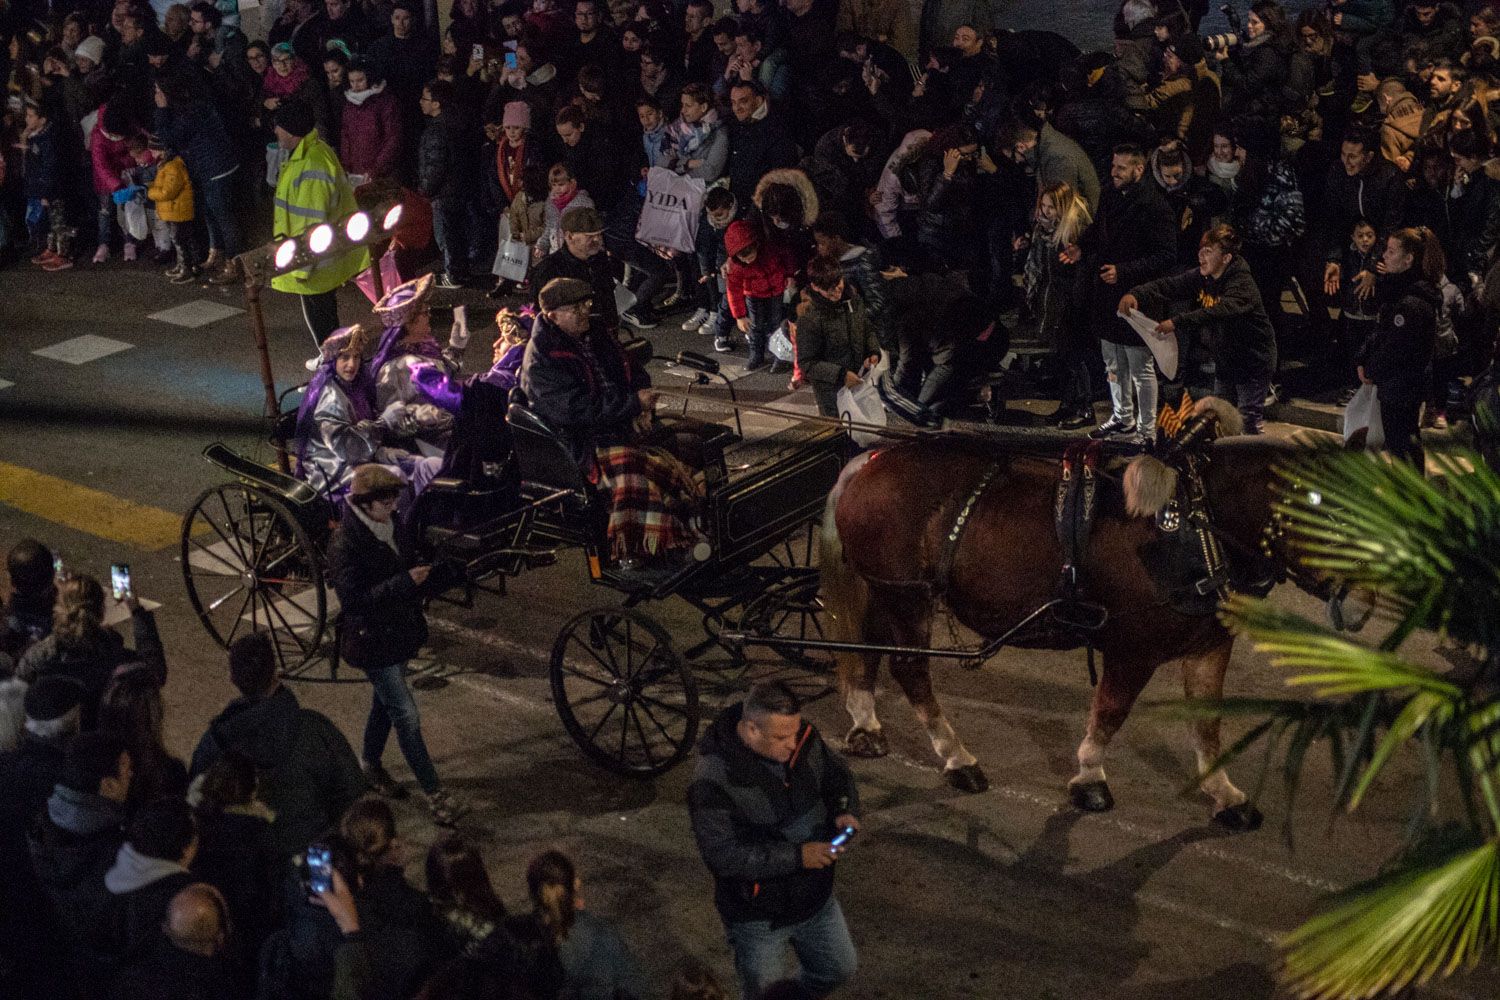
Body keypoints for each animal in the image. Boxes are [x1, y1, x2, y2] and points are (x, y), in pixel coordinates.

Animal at [816, 398, 1296, 827]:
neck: (1196, 520)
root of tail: (871, 460)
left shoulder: (1209, 645)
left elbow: (1208, 723)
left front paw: (1226, 794)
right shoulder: (1132, 651)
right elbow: (1110, 713)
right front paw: (1090, 777)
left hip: (883, 590)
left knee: (867, 648)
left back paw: (867, 724)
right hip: (908, 598)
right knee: (911, 669)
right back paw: (957, 759)